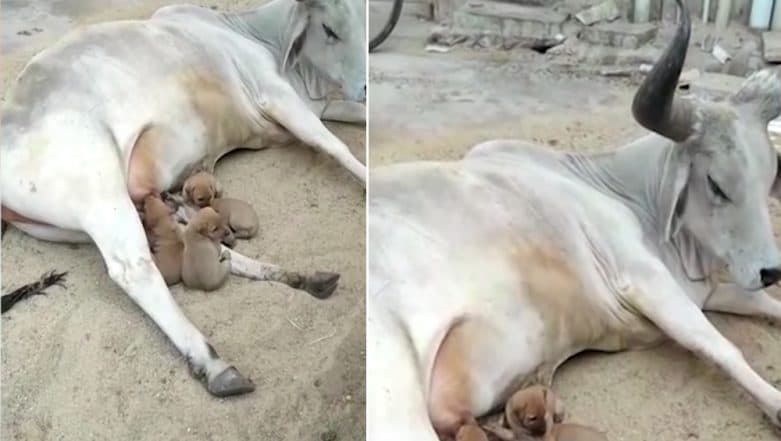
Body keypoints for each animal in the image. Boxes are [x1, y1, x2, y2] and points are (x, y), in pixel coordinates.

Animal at [0, 0, 366, 398]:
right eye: (329, 30)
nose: (363, 87)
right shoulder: (276, 94)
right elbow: (333, 145)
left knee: (210, 247)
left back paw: (303, 278)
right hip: (99, 194)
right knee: (134, 269)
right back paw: (215, 365)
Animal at [368, 1, 780, 438]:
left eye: (769, 178)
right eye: (716, 184)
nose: (771, 270)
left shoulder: (704, 290)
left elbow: (763, 304)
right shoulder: (642, 276)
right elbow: (719, 347)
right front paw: (776, 405)